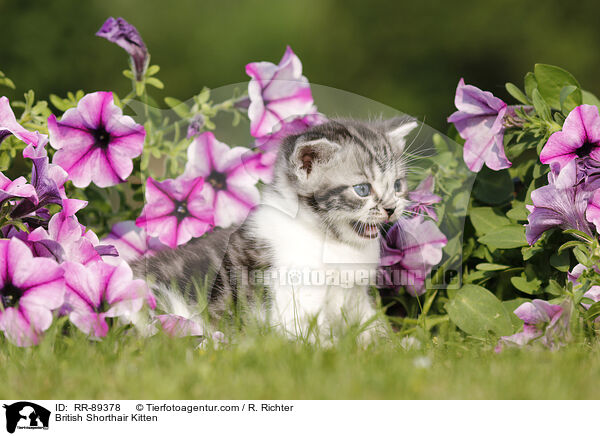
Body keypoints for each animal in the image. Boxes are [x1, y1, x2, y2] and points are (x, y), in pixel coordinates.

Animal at [134, 116, 418, 340]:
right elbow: (313, 341)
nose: (391, 208)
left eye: (397, 185)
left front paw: (400, 346)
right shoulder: (293, 302)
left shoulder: (356, 296)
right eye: (362, 189)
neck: (333, 244)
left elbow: (375, 327)